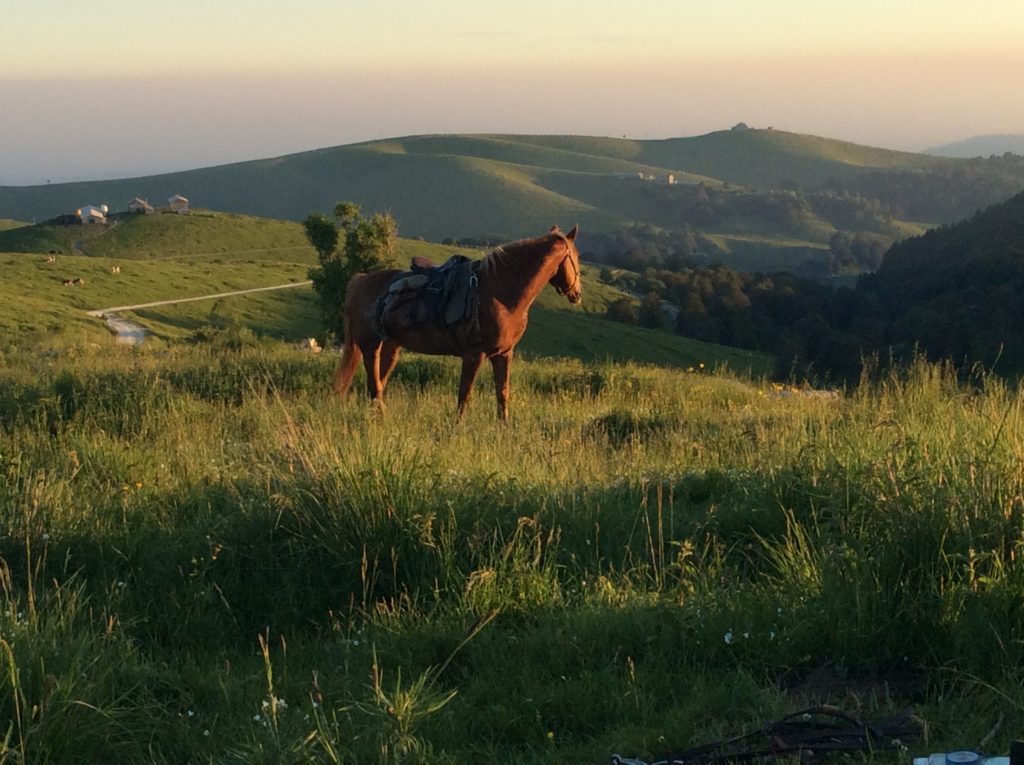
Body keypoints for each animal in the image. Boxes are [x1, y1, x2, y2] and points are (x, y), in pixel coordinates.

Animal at [331, 224, 581, 421]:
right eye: (576, 257)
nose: (577, 294)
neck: (499, 293)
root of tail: (359, 280)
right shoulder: (473, 354)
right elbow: (465, 394)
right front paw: (456, 427)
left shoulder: (503, 354)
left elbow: (502, 394)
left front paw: (504, 427)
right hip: (370, 345)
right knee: (374, 385)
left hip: (391, 346)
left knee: (378, 385)